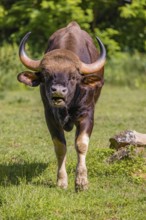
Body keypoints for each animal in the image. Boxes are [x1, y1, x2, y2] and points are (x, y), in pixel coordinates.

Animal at [17, 21, 105, 192]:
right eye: (46, 75)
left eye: (73, 77)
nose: (58, 91)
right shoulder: (50, 116)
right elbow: (60, 147)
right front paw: (61, 181)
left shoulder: (87, 114)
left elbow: (81, 144)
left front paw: (81, 182)